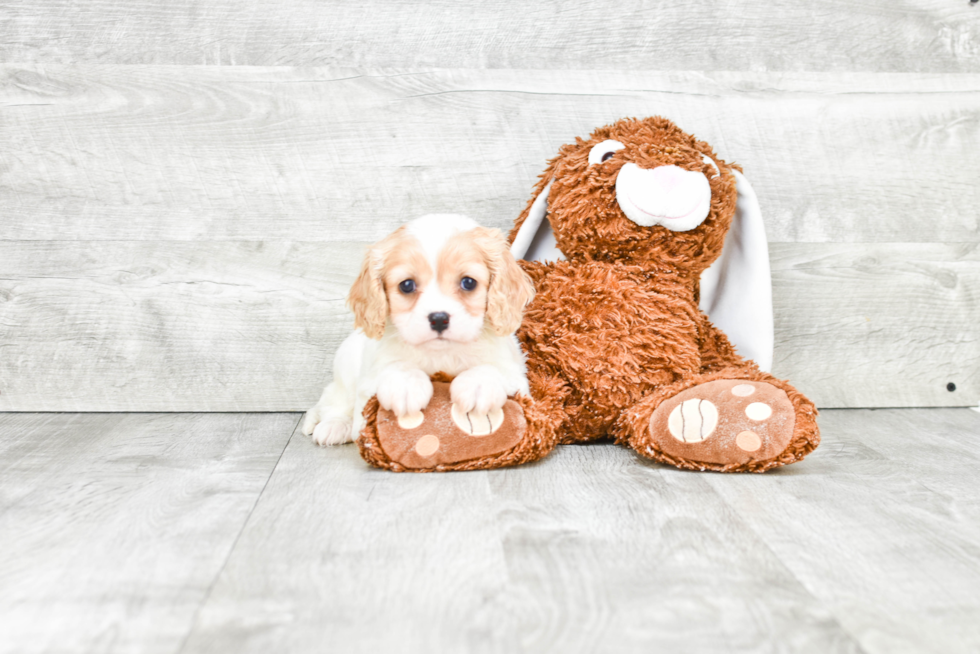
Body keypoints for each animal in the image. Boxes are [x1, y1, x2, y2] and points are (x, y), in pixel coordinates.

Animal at [302, 215, 536, 446]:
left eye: (468, 282)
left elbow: (492, 368)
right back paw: (335, 425)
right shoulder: (371, 376)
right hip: (345, 370)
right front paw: (406, 384)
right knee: (333, 401)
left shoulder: (515, 373)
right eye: (406, 285)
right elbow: (395, 366)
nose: (439, 319)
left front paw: (478, 385)